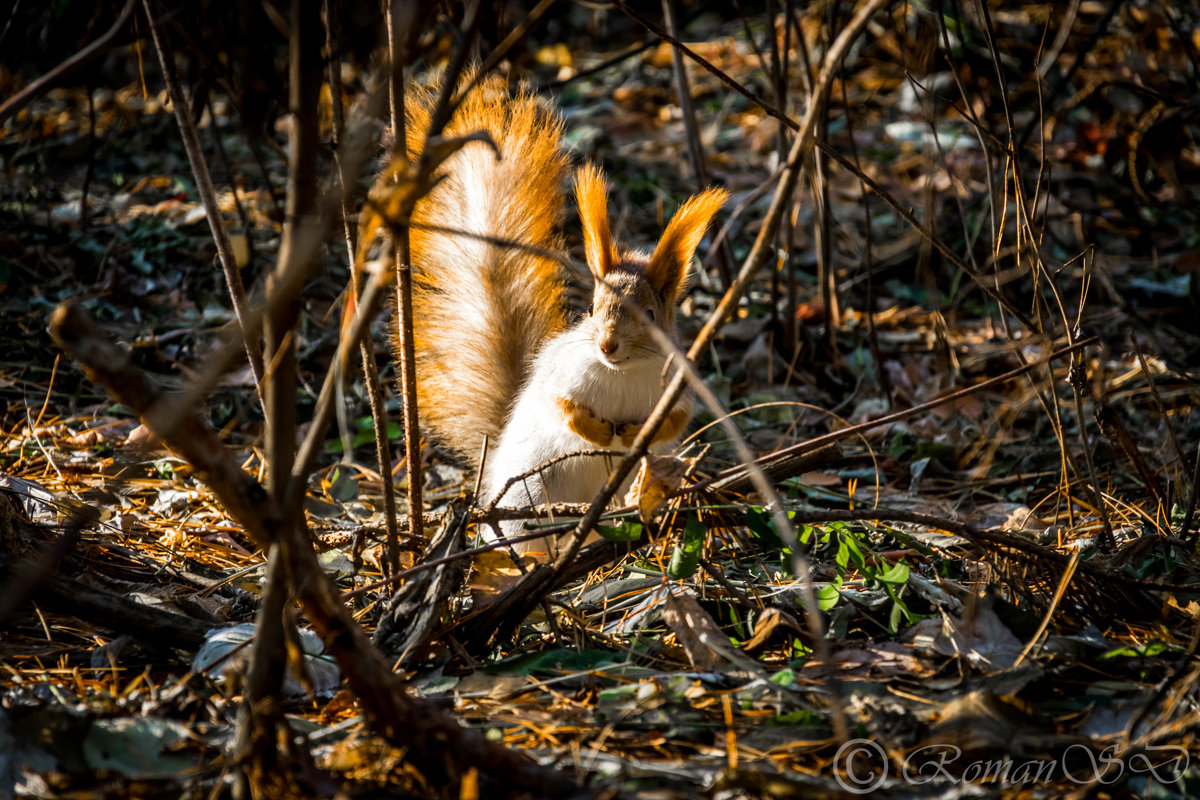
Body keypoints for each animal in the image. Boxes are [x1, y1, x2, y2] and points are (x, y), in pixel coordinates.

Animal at [403, 77, 724, 561]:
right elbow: (562, 406)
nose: (607, 345)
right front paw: (600, 433)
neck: (623, 371)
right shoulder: (559, 371)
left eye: (651, 314)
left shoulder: (678, 388)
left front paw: (633, 435)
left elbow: (675, 421)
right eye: (591, 309)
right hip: (527, 501)